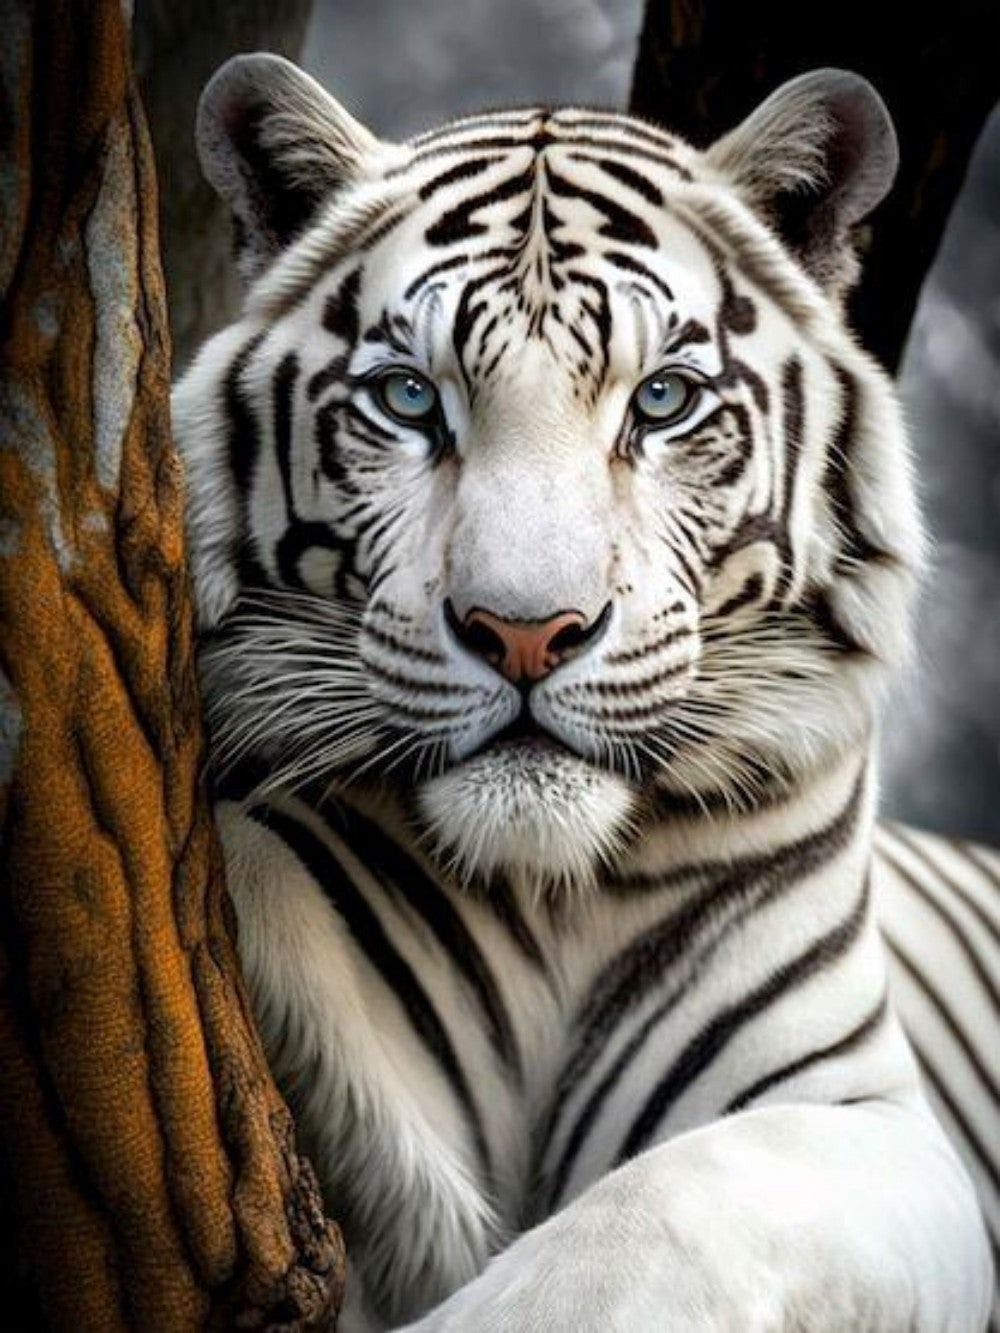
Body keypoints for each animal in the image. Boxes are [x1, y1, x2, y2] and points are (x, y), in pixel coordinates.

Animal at [172, 52, 998, 1331]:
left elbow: (657, 1209)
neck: (550, 891)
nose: (525, 632)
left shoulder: (868, 1123)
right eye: (409, 399)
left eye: (660, 402)